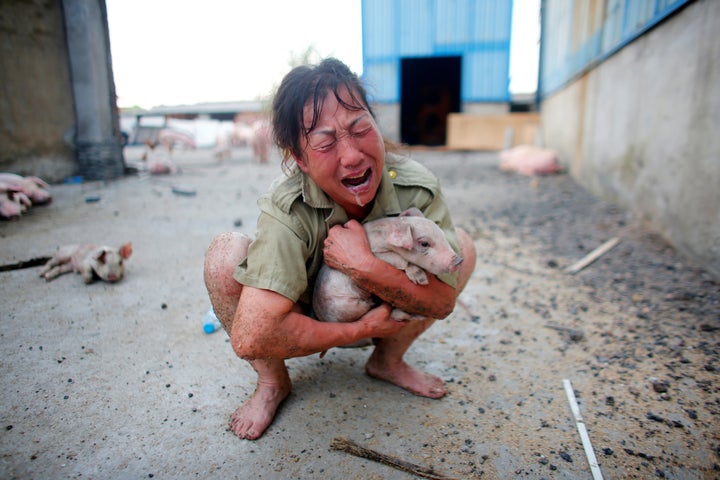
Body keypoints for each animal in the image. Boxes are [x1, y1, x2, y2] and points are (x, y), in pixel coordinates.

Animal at [314, 208, 462, 328]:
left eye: (443, 236)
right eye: (424, 243)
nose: (459, 261)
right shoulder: (377, 252)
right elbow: (401, 261)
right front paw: (421, 281)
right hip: (348, 305)